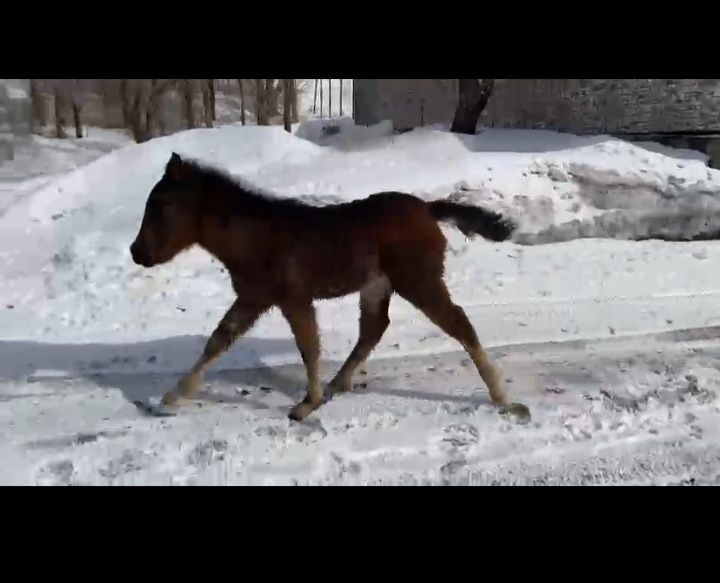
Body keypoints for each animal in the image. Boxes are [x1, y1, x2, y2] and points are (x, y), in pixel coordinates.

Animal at [129, 153, 528, 422]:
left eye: (160, 206)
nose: (136, 253)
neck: (257, 238)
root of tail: (428, 209)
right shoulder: (253, 298)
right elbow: (219, 339)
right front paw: (170, 398)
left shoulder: (293, 299)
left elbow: (308, 346)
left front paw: (307, 404)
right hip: (377, 286)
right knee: (374, 329)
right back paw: (339, 384)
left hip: (419, 281)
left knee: (459, 324)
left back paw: (502, 396)